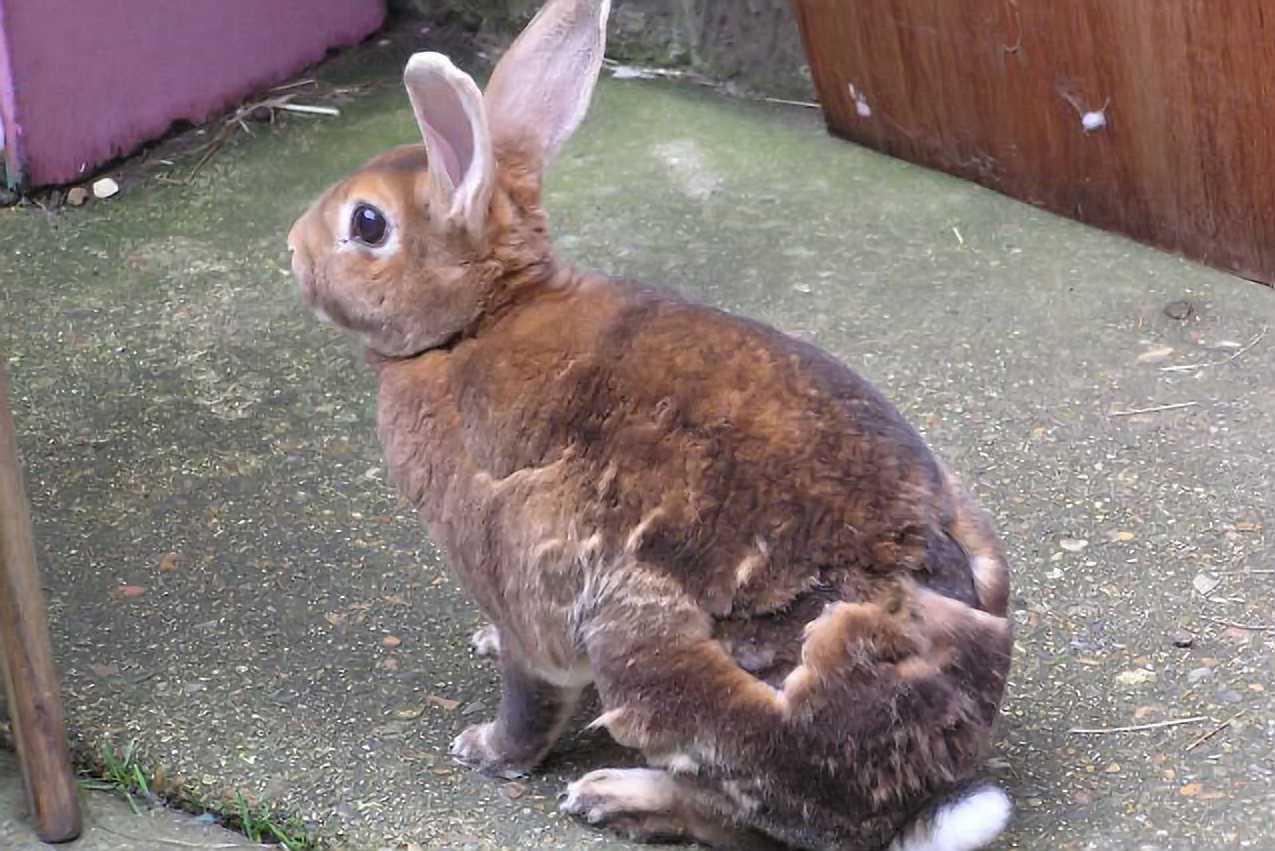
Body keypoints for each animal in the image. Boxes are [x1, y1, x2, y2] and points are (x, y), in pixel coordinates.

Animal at [289, 3, 1014, 847]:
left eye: (367, 223)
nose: (291, 249)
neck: (473, 322)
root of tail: (919, 791)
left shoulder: (519, 577)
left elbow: (531, 696)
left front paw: (484, 749)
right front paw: (482, 644)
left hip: (643, 643)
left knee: (734, 817)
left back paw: (612, 794)